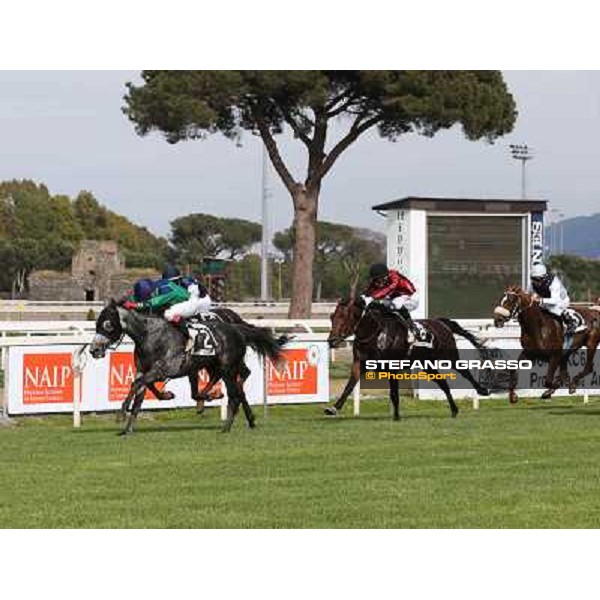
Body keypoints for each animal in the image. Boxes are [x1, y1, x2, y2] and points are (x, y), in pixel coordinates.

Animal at [90, 302, 284, 434]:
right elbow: (142, 391)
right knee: (228, 385)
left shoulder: (166, 368)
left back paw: (226, 425)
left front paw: (121, 413)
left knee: (235, 393)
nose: (94, 350)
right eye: (96, 324)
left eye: (107, 324)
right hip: (214, 366)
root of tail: (237, 328)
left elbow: (137, 384)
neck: (149, 336)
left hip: (227, 368)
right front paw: (128, 429)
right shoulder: (146, 370)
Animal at [324, 298, 488, 420]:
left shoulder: (392, 367)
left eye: (345, 317)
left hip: (449, 357)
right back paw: (454, 410)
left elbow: (394, 393)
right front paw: (333, 408)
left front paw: (396, 416)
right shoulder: (359, 363)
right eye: (332, 317)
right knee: (443, 383)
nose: (331, 341)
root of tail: (441, 323)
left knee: (464, 371)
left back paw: (482, 390)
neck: (375, 334)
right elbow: (349, 386)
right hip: (427, 364)